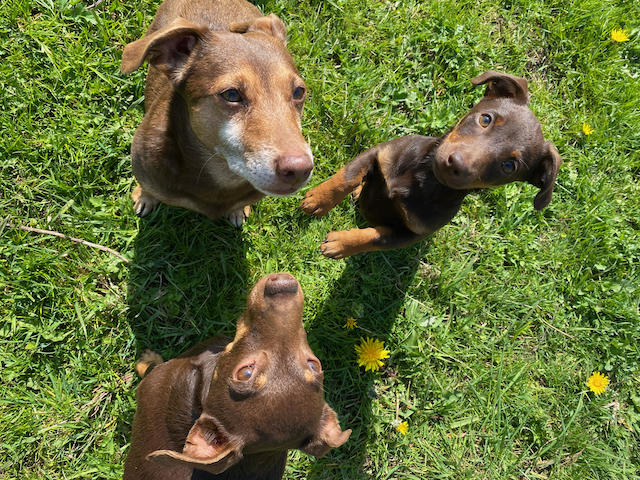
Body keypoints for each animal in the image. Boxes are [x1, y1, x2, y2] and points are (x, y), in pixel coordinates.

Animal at [300, 70, 560, 258]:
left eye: (509, 167)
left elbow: (372, 238)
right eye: (485, 119)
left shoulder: (407, 234)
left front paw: (341, 244)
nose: (457, 164)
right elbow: (346, 177)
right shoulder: (380, 153)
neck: (423, 179)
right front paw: (318, 200)